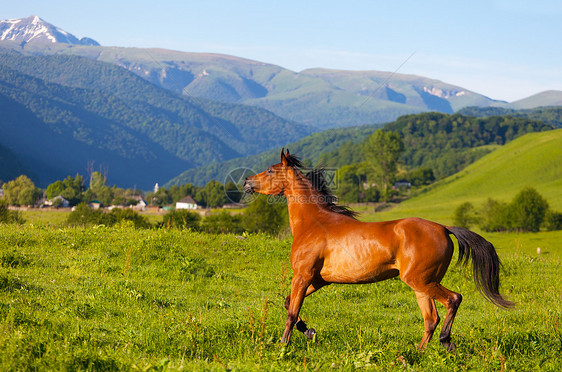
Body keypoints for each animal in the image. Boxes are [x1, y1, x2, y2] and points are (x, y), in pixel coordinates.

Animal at [243, 149, 516, 352]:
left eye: (270, 170)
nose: (246, 182)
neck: (314, 224)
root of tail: (443, 228)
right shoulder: (319, 280)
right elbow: (289, 303)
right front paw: (309, 331)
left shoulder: (303, 275)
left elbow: (291, 311)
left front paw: (283, 344)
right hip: (423, 284)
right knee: (431, 319)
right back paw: (418, 352)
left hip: (420, 280)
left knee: (453, 300)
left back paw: (445, 342)